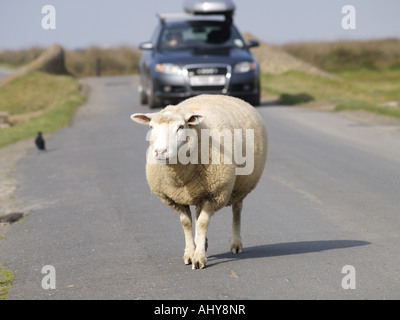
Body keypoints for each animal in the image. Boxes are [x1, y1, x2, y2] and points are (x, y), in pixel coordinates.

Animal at [132, 94, 268, 268]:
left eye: (181, 127)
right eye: (151, 127)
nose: (160, 152)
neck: (181, 175)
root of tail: (219, 95)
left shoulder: (215, 194)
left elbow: (203, 223)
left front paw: (199, 258)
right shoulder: (176, 198)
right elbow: (186, 223)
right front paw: (190, 253)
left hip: (239, 186)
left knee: (237, 211)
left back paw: (235, 243)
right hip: (201, 192)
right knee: (198, 213)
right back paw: (202, 241)